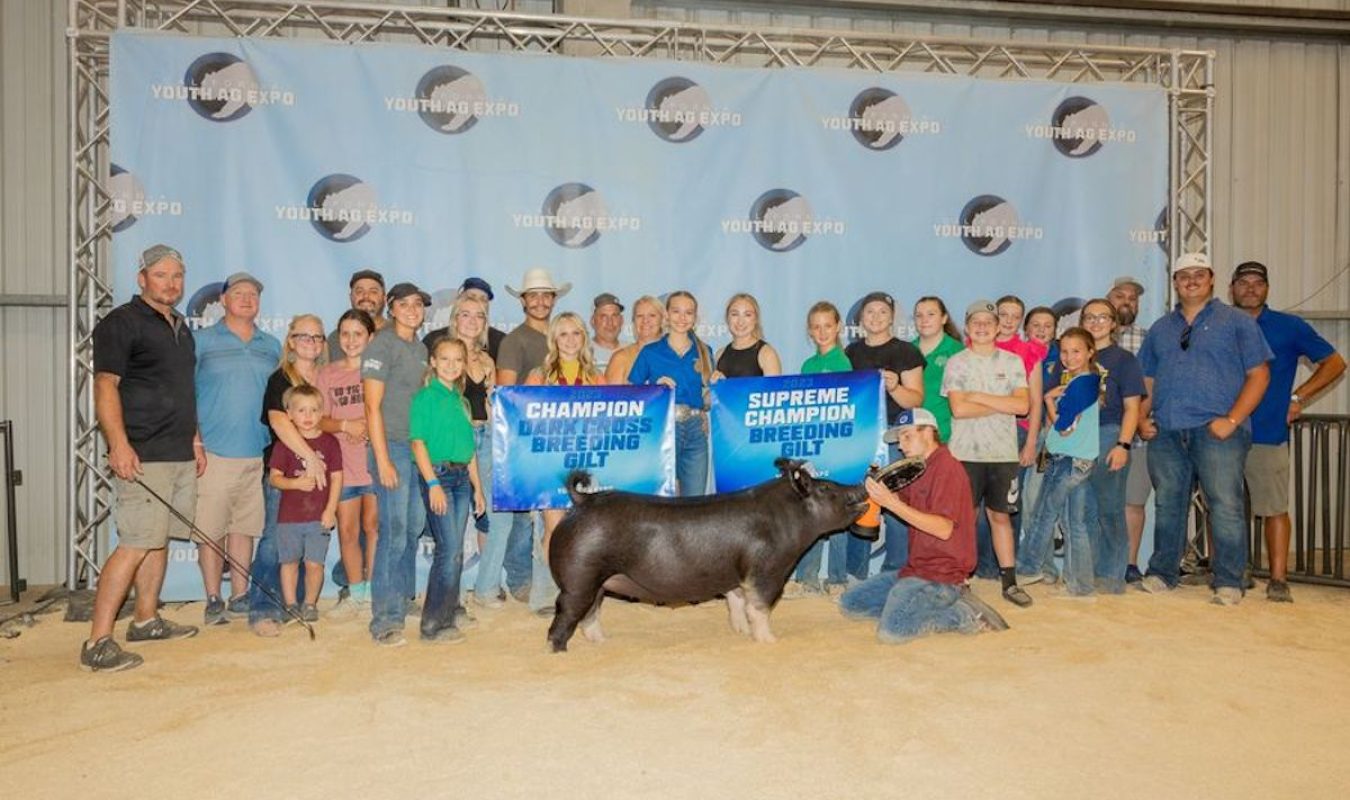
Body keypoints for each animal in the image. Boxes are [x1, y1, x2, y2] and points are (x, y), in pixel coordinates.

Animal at [545, 458, 869, 652]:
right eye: (825, 488)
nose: (861, 485)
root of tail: (582, 500)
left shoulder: (736, 574)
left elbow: (737, 602)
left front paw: (740, 632)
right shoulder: (767, 570)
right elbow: (759, 607)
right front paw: (769, 641)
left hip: (597, 581)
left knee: (590, 614)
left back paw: (603, 642)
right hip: (579, 577)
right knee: (565, 616)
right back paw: (559, 653)